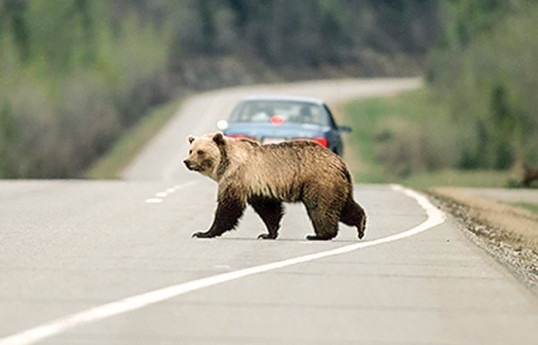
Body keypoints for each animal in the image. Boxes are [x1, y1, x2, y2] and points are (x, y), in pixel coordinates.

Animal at [183, 132, 364, 239]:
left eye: (200, 151)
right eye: (190, 150)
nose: (187, 162)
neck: (225, 163)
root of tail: (339, 162)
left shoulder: (237, 177)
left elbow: (228, 207)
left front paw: (204, 232)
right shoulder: (258, 186)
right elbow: (268, 210)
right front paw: (268, 234)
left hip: (318, 181)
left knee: (320, 207)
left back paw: (320, 235)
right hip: (338, 184)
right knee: (345, 206)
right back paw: (361, 224)